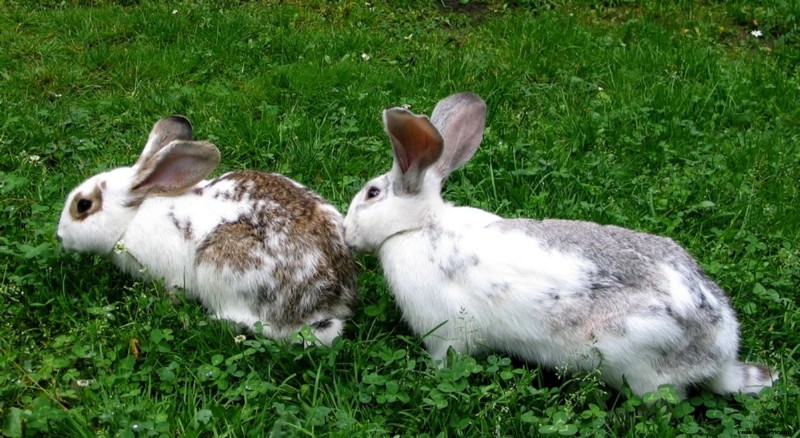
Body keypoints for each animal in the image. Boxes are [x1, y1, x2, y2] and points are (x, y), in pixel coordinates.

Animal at [340, 91, 780, 396]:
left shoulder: (447, 337)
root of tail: (719, 357)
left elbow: (446, 360)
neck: (419, 226)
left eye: (372, 193)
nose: (346, 235)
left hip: (635, 363)